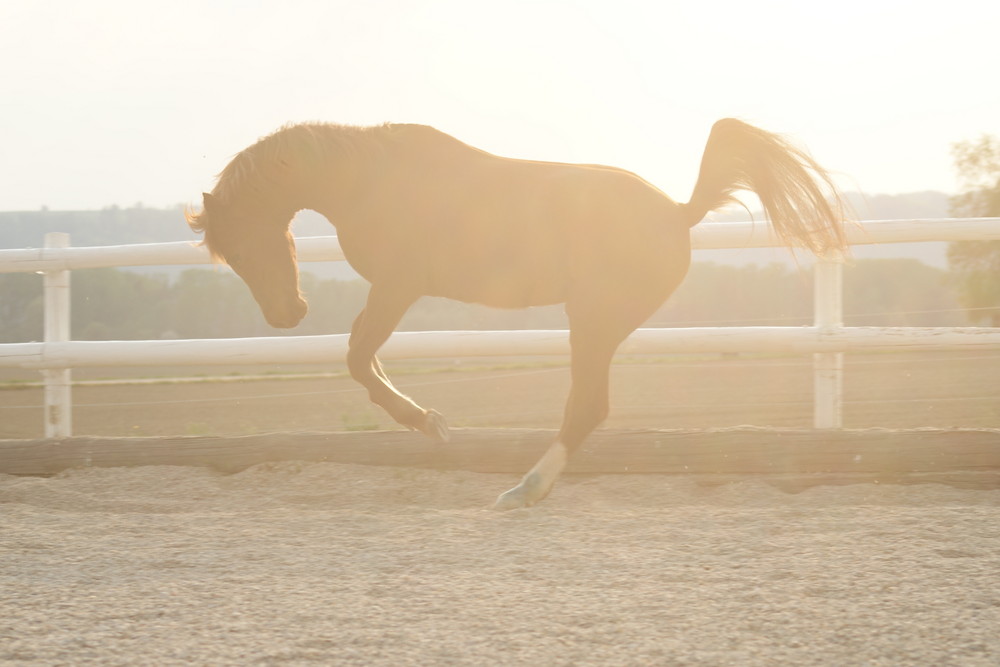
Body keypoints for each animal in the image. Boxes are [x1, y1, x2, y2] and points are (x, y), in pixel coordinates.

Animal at [186, 120, 844, 508]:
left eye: (239, 248)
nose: (286, 315)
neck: (373, 180)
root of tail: (680, 212)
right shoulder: (394, 290)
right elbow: (361, 355)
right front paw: (429, 422)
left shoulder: (398, 286)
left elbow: (358, 356)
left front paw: (429, 424)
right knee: (587, 407)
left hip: (593, 321)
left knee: (587, 407)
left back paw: (525, 489)